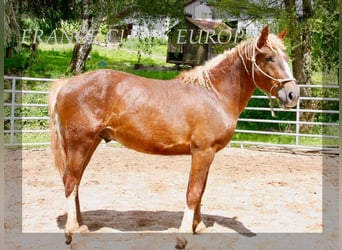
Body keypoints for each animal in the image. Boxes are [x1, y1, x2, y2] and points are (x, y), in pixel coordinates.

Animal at [48, 26, 300, 244]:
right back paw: (72, 231)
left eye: (286, 56)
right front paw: (183, 236)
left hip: (90, 144)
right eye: (268, 58)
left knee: (75, 182)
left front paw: (199, 227)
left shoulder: (208, 155)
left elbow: (201, 191)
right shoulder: (202, 152)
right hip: (80, 144)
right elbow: (193, 192)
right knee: (70, 182)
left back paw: (81, 225)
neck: (214, 94)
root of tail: (66, 84)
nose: (292, 94)